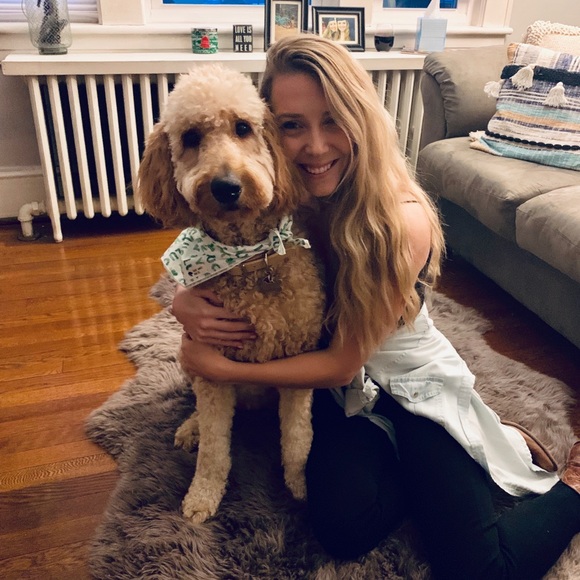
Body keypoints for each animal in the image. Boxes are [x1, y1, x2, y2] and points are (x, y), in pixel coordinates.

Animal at [137, 64, 325, 524]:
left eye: (243, 127)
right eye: (190, 138)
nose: (225, 186)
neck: (250, 260)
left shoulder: (299, 367)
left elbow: (298, 442)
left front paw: (301, 487)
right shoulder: (214, 375)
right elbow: (214, 452)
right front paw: (203, 496)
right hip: (189, 358)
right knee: (199, 417)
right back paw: (190, 428)